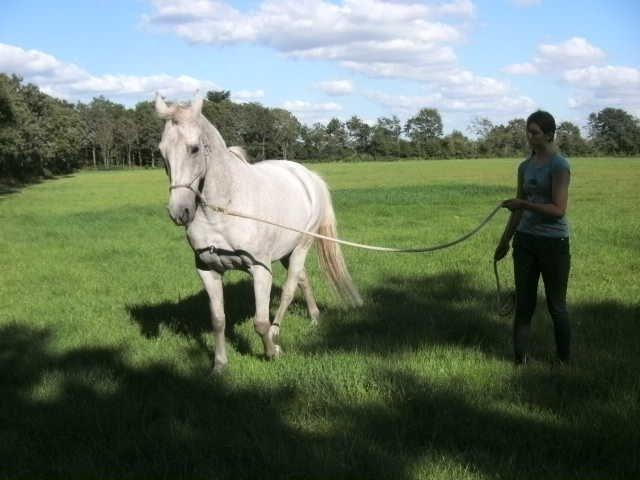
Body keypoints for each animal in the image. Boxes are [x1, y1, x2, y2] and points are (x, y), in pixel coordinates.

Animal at [155, 93, 362, 372]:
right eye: (161, 152)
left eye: (194, 148)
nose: (180, 212)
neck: (224, 209)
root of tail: (308, 176)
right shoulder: (207, 269)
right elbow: (218, 320)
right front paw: (219, 364)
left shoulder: (260, 269)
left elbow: (260, 322)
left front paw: (272, 352)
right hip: (286, 252)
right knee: (303, 280)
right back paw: (314, 316)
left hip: (302, 246)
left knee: (289, 290)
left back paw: (277, 333)